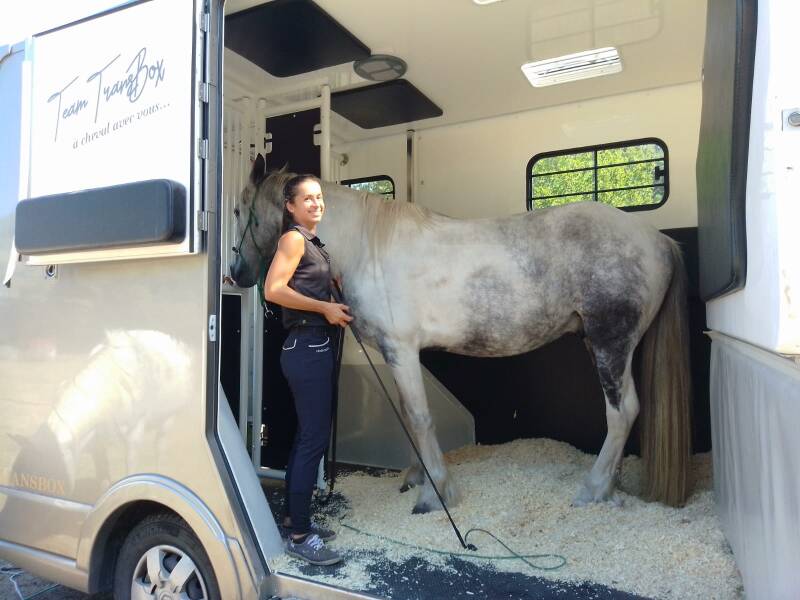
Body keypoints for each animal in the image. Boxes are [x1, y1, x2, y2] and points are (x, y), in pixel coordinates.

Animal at [230, 155, 692, 513]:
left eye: (238, 209)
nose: (237, 273)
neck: (368, 247)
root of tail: (659, 241)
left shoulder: (401, 350)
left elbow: (419, 418)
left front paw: (437, 493)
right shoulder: (399, 355)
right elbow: (408, 415)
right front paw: (418, 478)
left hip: (610, 344)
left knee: (623, 412)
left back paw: (593, 490)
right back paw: (609, 487)